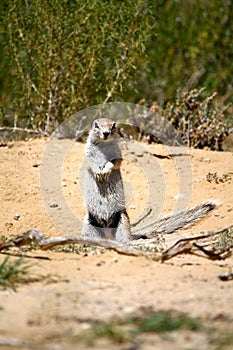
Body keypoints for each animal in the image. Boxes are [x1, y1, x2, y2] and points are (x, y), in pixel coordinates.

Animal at [81, 117, 217, 241]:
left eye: (113, 125)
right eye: (96, 125)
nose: (106, 133)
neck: (103, 144)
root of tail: (107, 232)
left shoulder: (117, 153)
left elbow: (115, 162)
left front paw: (106, 170)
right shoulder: (88, 153)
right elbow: (90, 162)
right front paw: (99, 173)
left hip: (122, 221)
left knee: (124, 239)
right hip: (90, 222)